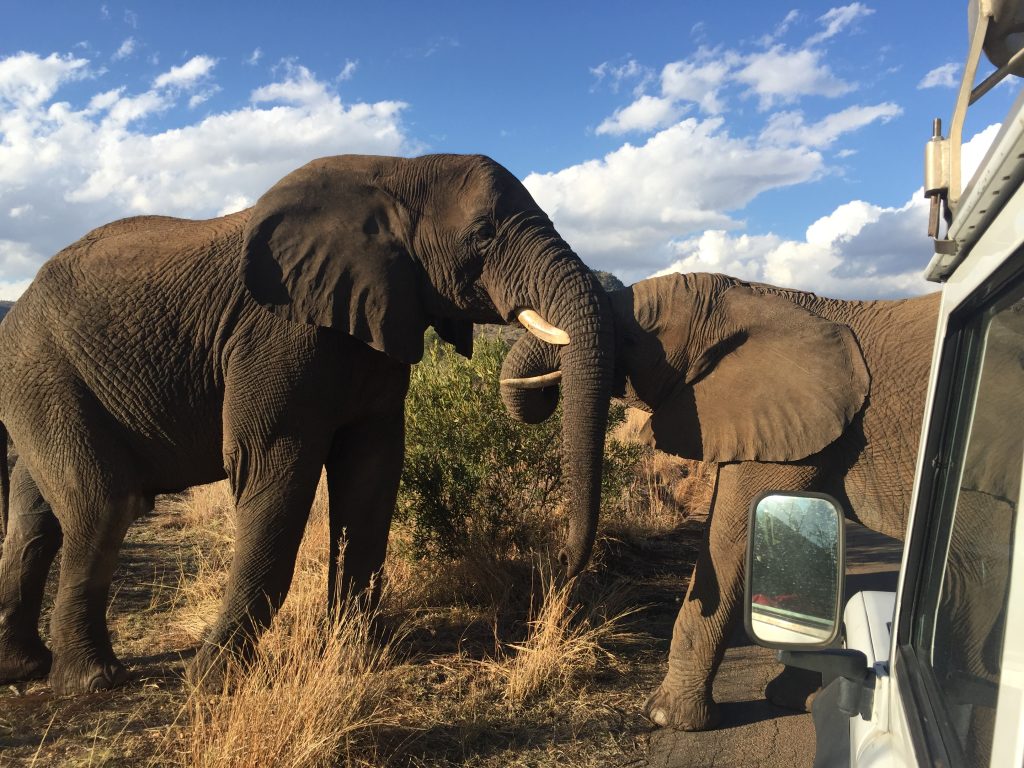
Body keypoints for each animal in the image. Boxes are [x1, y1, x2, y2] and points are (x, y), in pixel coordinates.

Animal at [0, 153, 615, 694]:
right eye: (483, 233)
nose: (558, 569)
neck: (398, 171)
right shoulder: (274, 335)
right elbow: (273, 470)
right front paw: (213, 683)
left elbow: (371, 474)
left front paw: (357, 654)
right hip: (40, 366)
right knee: (103, 504)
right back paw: (91, 682)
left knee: (35, 516)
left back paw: (24, 668)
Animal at [499, 271, 941, 730]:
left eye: (635, 338)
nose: (560, 564)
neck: (760, 296)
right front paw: (803, 696)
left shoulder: (787, 424)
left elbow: (731, 540)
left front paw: (665, 717)